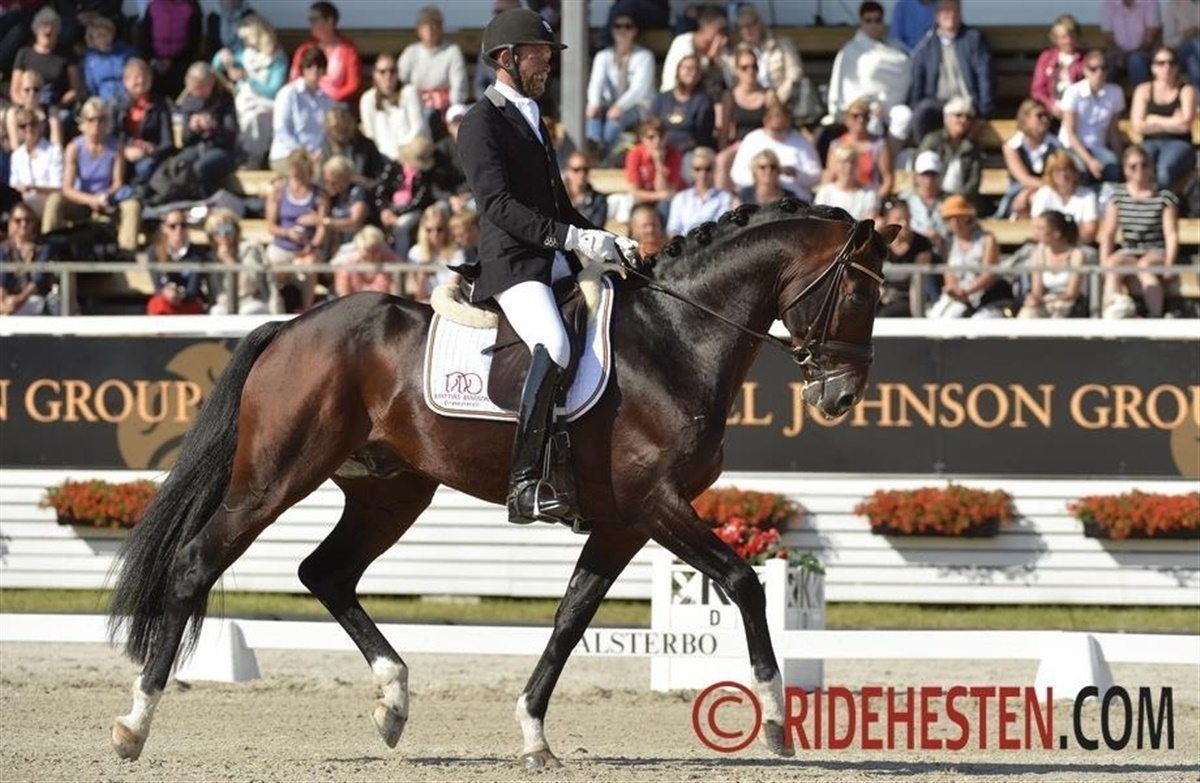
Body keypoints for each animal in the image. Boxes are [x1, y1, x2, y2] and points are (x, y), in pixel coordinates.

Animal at [106, 199, 898, 769]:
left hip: (391, 491)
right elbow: (743, 582)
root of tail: (293, 324)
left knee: (325, 571)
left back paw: (393, 702)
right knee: (197, 562)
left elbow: (571, 618)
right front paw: (775, 719)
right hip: (274, 475)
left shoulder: (623, 521)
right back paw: (134, 723)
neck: (676, 337)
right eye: (859, 295)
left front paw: (534, 736)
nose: (839, 397)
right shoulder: (657, 504)